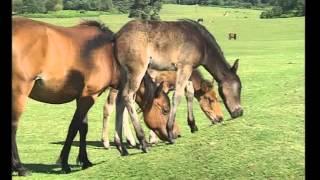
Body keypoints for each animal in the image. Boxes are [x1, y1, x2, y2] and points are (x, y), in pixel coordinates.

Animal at [11, 17, 172, 176]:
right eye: (165, 110)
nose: (172, 135)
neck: (111, 56)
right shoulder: (89, 96)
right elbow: (73, 128)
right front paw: (65, 163)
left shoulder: (84, 97)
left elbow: (83, 127)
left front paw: (85, 161)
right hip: (19, 93)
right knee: (13, 126)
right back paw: (20, 167)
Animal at [112, 19, 242, 151]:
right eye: (210, 99)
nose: (239, 112)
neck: (202, 43)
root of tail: (117, 36)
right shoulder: (184, 67)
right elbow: (177, 97)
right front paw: (169, 132)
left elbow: (188, 93)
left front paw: (192, 125)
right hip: (137, 71)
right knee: (128, 96)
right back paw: (141, 141)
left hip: (124, 74)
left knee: (119, 101)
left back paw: (121, 144)